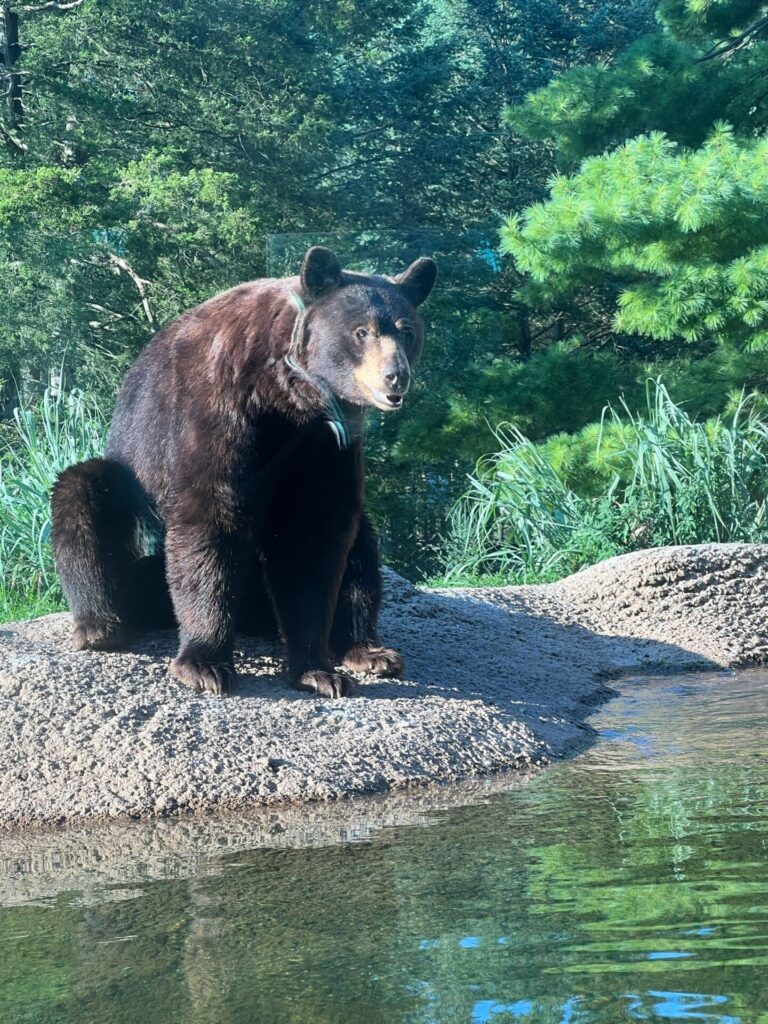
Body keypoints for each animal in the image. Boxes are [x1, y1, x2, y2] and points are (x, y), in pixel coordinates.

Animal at [51, 243, 438, 700]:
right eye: (361, 331)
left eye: (407, 331)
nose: (395, 378)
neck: (286, 395)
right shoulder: (217, 407)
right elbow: (211, 517)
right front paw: (205, 664)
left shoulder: (325, 444)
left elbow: (315, 536)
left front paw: (317, 670)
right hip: (128, 490)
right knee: (83, 494)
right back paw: (100, 625)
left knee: (361, 547)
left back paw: (367, 649)